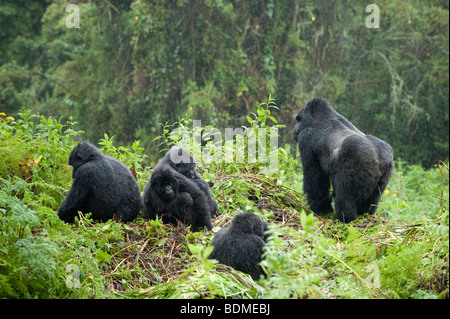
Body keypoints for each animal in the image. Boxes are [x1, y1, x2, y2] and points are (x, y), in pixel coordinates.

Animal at [292, 96, 394, 224]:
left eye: (298, 120)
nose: (294, 129)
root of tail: (379, 156)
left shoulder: (306, 139)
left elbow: (315, 179)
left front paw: (320, 209)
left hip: (356, 158)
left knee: (345, 194)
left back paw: (342, 218)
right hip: (387, 170)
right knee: (373, 198)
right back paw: (365, 214)